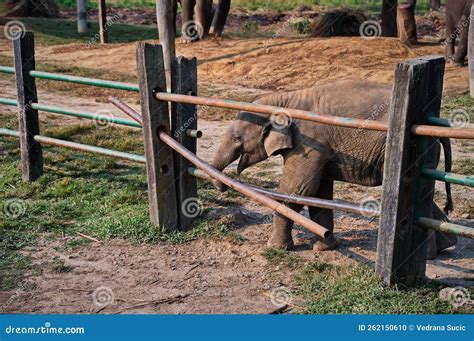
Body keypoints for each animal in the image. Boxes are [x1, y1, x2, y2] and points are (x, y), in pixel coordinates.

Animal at [209, 81, 458, 258]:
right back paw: (444, 248)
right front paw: (324, 247)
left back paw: (428, 255)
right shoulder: (320, 149)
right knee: (423, 195)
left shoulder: (309, 142)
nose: (222, 185)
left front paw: (275, 248)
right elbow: (319, 193)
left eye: (237, 138)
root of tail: (436, 121)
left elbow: (298, 190)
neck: (282, 100)